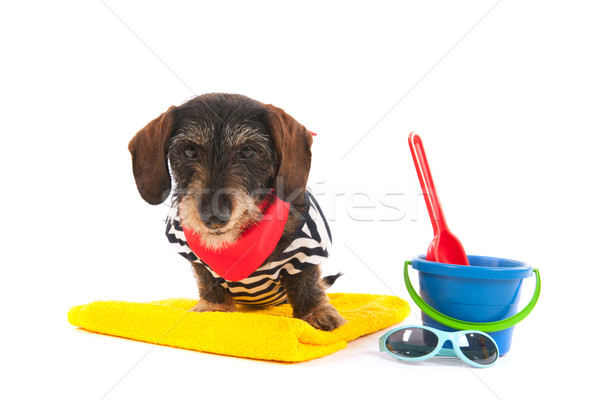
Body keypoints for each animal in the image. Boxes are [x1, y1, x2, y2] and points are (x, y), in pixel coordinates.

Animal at [130, 94, 346, 332]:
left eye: (248, 151)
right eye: (189, 151)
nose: (214, 218)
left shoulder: (308, 250)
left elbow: (306, 282)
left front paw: (315, 312)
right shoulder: (192, 254)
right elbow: (208, 280)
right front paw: (214, 308)